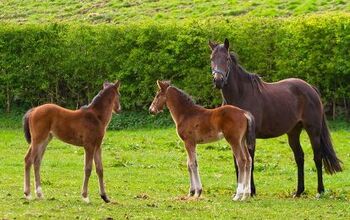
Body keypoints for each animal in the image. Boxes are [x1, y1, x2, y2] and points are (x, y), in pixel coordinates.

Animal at [209, 38, 344, 197]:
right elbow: (238, 162)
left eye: (227, 59)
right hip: (293, 132)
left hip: (313, 131)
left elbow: (250, 161)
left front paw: (251, 191)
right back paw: (298, 191)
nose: (218, 80)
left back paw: (320, 191)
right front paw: (240, 191)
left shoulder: (250, 137)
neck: (241, 95)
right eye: (212, 58)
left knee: (317, 157)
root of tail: (310, 88)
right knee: (299, 157)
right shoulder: (235, 137)